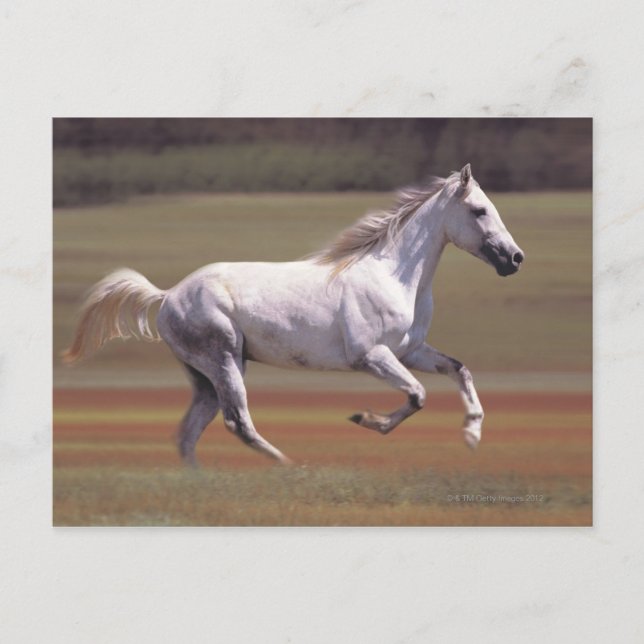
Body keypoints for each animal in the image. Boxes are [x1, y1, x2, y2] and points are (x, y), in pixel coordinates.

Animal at [63, 164, 524, 466]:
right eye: (479, 210)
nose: (515, 258)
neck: (394, 275)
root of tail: (169, 295)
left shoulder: (411, 351)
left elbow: (459, 370)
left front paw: (472, 435)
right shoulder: (372, 356)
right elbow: (417, 395)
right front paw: (363, 418)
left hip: (205, 377)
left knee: (189, 434)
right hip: (225, 361)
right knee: (238, 423)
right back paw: (289, 466)